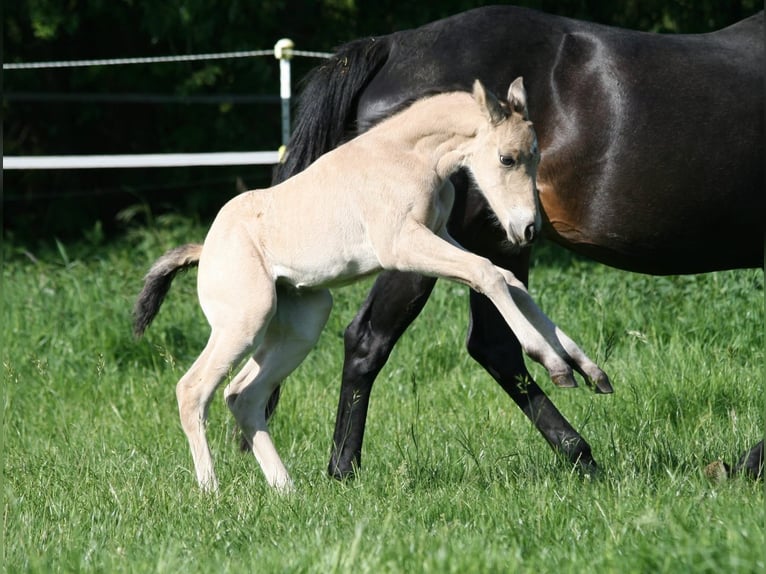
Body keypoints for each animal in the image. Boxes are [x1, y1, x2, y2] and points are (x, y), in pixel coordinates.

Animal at [133, 79, 611, 491]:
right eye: (507, 158)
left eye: (536, 156)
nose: (528, 229)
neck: (410, 155)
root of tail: (206, 249)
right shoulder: (403, 246)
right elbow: (487, 273)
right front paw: (552, 362)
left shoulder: (438, 235)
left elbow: (509, 280)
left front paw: (589, 369)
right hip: (245, 321)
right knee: (193, 390)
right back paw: (211, 490)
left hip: (301, 324)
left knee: (243, 396)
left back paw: (287, 490)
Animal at [271, 6, 764, 480]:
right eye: (508, 157)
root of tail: (392, 45)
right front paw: (743, 466)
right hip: (421, 247)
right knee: (369, 339)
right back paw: (343, 470)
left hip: (496, 240)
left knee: (495, 344)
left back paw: (581, 454)